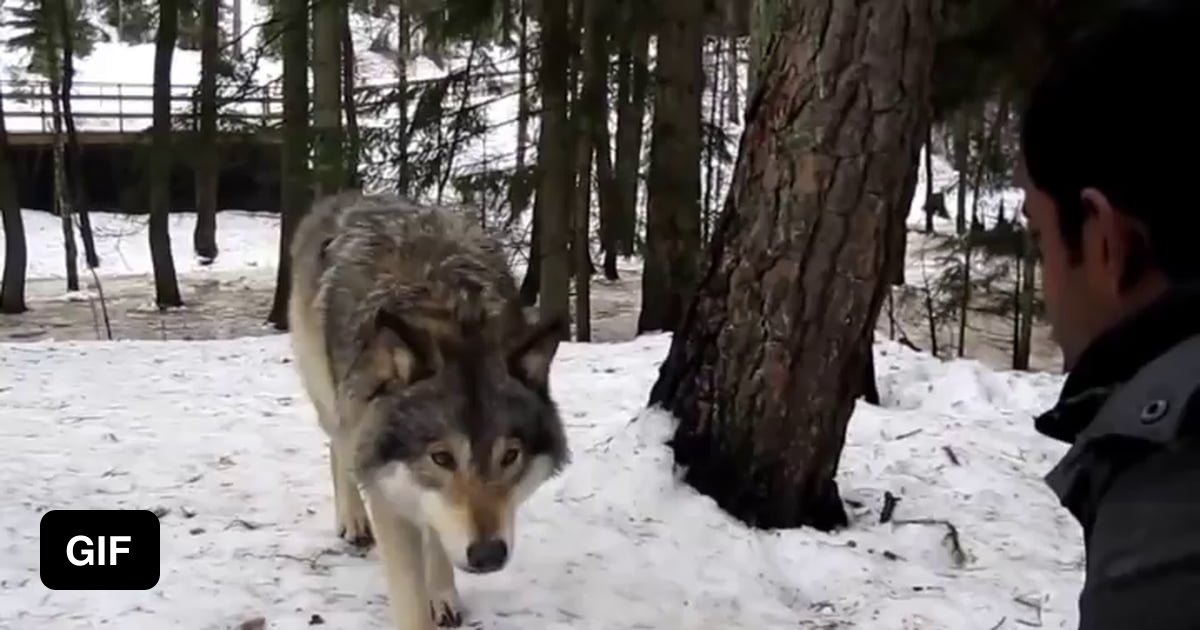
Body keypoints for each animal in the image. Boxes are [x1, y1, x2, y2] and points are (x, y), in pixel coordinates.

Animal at [289, 193, 571, 628]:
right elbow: (409, 592)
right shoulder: (387, 491)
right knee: (338, 445)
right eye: (441, 458)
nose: (488, 556)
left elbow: (438, 540)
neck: (454, 316)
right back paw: (353, 520)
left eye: (509, 456)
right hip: (330, 393)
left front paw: (442, 595)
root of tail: (350, 195)